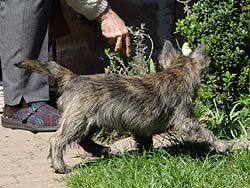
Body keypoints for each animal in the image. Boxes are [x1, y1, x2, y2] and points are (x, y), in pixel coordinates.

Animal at [15, 40, 248, 173]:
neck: (177, 73)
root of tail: (73, 78)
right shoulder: (186, 120)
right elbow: (205, 132)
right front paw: (223, 145)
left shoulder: (141, 126)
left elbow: (144, 138)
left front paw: (147, 152)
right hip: (77, 120)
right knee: (58, 140)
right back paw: (60, 166)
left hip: (91, 121)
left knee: (84, 140)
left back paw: (101, 150)